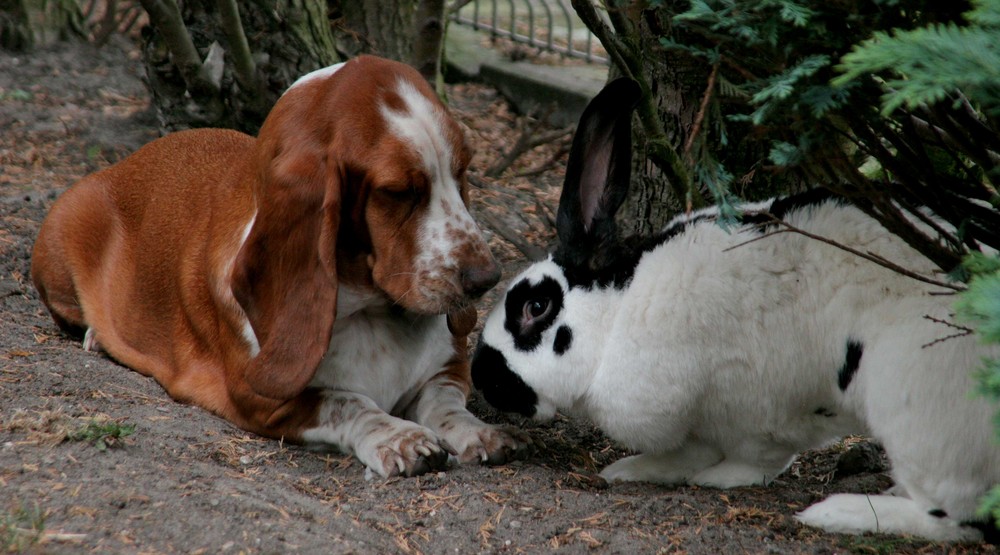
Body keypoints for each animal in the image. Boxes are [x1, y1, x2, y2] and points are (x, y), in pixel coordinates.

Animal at [31, 55, 532, 478]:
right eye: (398, 191)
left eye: (462, 170)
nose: (487, 279)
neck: (369, 311)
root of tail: (118, 165)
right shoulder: (261, 400)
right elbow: (346, 401)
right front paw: (401, 438)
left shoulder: (448, 370)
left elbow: (444, 403)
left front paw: (478, 433)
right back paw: (97, 335)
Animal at [472, 78, 1000, 544]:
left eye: (536, 307)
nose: (481, 377)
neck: (618, 315)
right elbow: (688, 453)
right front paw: (631, 469)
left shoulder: (751, 402)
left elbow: (755, 455)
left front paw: (720, 479)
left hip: (918, 406)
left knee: (956, 517)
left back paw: (841, 512)